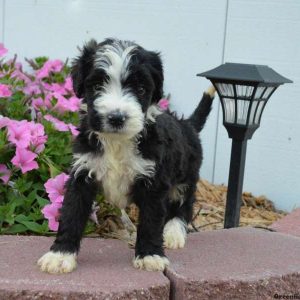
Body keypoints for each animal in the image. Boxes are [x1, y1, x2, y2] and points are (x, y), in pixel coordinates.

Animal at [38, 38, 216, 274]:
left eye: (140, 89)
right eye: (97, 86)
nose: (116, 117)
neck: (117, 142)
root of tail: (186, 124)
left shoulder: (154, 181)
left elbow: (151, 220)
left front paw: (150, 255)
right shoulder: (82, 173)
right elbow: (71, 213)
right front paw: (60, 255)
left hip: (186, 176)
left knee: (183, 205)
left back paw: (173, 232)